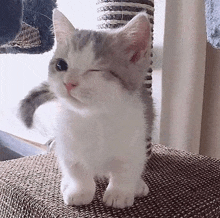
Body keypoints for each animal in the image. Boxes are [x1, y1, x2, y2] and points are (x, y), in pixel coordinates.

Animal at [18, 9, 154, 209]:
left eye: (95, 70)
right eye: (61, 65)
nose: (69, 83)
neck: (93, 118)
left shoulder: (134, 138)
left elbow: (126, 168)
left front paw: (119, 193)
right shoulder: (66, 143)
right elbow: (77, 170)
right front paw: (79, 191)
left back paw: (137, 185)